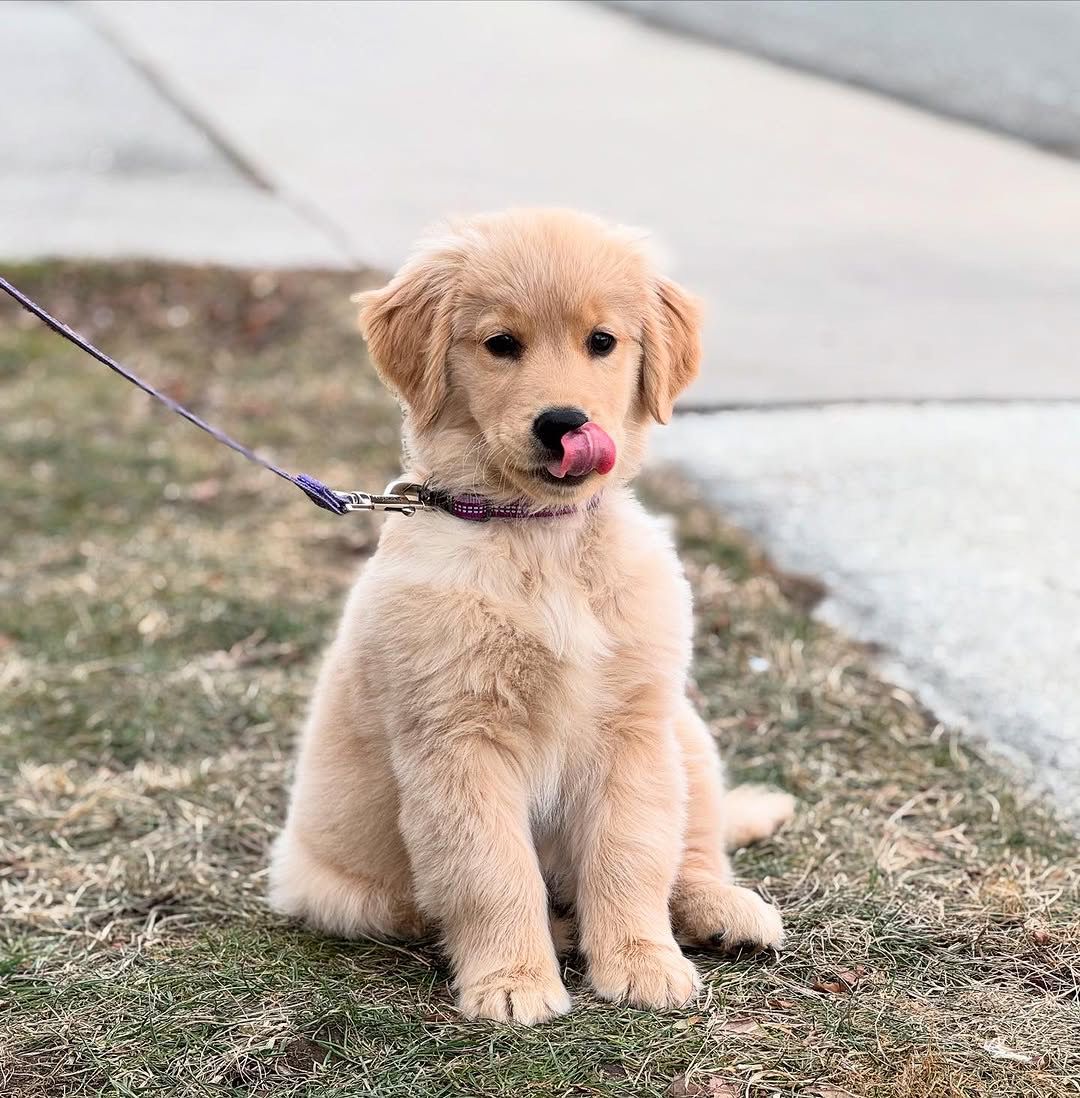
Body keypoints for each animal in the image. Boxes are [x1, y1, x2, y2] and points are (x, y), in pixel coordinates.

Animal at [269, 209, 794, 1024]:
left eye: (602, 342)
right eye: (500, 344)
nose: (563, 423)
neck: (537, 537)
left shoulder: (632, 730)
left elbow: (632, 856)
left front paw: (641, 962)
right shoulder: (460, 740)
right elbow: (492, 870)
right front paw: (513, 981)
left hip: (684, 733)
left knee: (694, 850)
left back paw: (720, 912)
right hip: (338, 889)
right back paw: (560, 929)